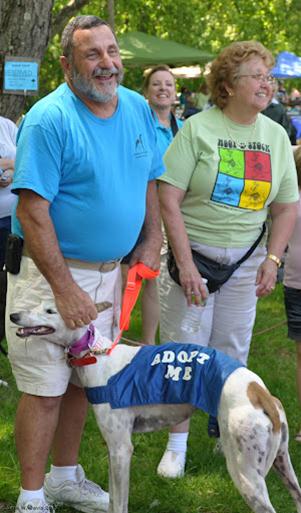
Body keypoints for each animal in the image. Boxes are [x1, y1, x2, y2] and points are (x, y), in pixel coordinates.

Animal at [8, 300, 300, 512]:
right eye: (36, 304)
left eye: (49, 311)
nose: (13, 316)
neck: (98, 356)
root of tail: (260, 392)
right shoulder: (114, 451)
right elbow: (113, 499)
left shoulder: (121, 449)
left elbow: (120, 503)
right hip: (282, 463)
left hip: (245, 472)